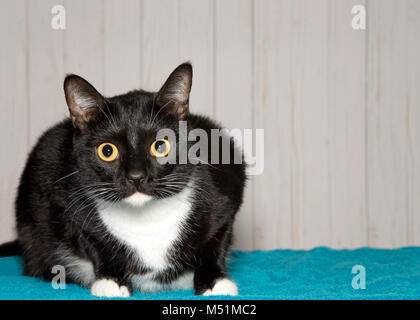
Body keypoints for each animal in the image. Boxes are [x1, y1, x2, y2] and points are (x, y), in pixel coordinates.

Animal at [0, 62, 246, 298]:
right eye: (107, 151)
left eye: (161, 146)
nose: (136, 176)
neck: (146, 219)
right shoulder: (65, 198)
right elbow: (93, 242)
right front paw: (111, 281)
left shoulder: (227, 185)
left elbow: (216, 241)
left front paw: (214, 282)